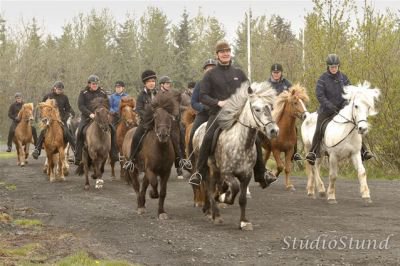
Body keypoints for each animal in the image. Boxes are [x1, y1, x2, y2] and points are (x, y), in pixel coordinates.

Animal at [120, 90, 180, 219]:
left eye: (169, 117)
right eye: (155, 117)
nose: (163, 135)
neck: (160, 148)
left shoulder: (166, 172)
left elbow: (163, 192)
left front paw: (161, 212)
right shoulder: (150, 169)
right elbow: (154, 183)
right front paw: (152, 194)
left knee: (143, 186)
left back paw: (143, 203)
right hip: (133, 169)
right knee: (137, 187)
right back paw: (140, 206)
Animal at [196, 81, 278, 231]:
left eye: (270, 107)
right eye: (257, 109)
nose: (274, 130)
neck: (241, 144)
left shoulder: (246, 175)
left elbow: (242, 199)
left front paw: (244, 222)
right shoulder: (227, 173)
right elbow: (234, 188)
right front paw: (223, 198)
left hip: (216, 171)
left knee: (213, 188)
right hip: (209, 169)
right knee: (209, 189)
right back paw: (216, 214)